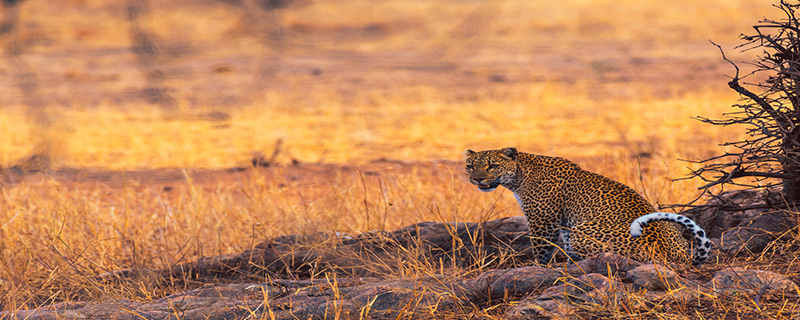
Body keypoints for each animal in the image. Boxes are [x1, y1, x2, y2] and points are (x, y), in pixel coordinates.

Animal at [466, 148, 708, 264]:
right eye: (470, 166)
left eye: (492, 165)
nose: (476, 179)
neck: (519, 175)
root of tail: (673, 253)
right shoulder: (564, 221)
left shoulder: (542, 220)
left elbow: (541, 248)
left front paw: (539, 267)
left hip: (581, 233)